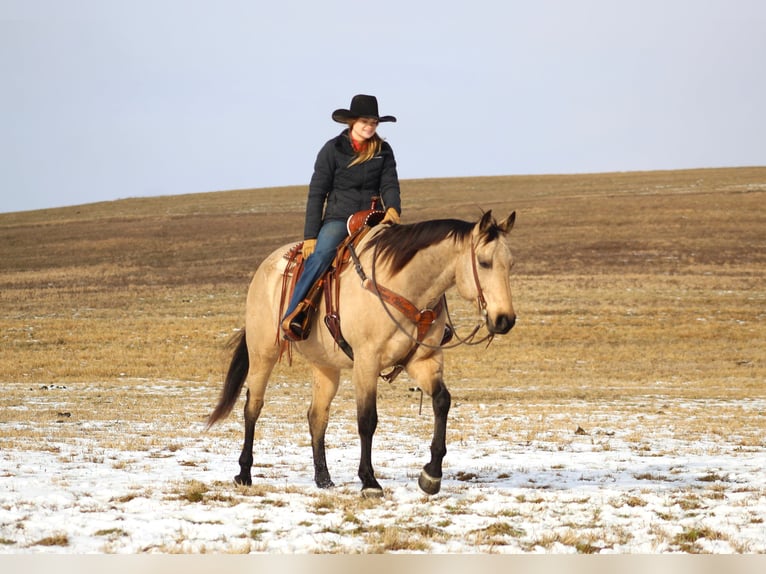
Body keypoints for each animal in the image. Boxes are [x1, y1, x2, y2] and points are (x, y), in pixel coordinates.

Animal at [207, 209, 520, 498]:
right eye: (484, 262)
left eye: (510, 264)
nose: (505, 319)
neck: (405, 288)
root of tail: (266, 266)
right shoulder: (366, 362)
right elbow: (367, 420)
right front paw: (369, 481)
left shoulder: (424, 361)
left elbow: (442, 401)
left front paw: (431, 475)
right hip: (263, 353)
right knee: (253, 407)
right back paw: (244, 473)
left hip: (325, 366)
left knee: (317, 415)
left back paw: (324, 479)